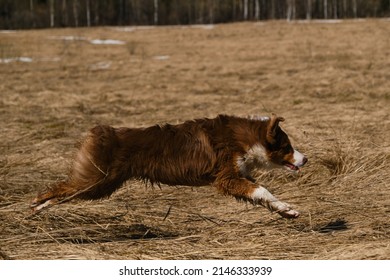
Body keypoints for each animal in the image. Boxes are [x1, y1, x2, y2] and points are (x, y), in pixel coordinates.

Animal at [31, 114, 308, 219]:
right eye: (287, 147)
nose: (305, 159)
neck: (246, 139)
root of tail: (102, 132)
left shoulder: (239, 176)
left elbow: (264, 194)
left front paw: (286, 210)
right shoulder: (226, 177)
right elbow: (261, 190)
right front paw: (287, 208)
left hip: (102, 184)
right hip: (97, 180)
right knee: (59, 188)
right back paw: (37, 203)